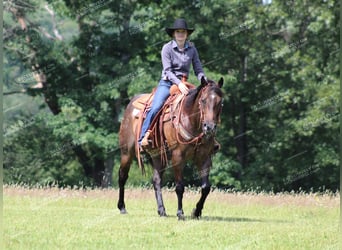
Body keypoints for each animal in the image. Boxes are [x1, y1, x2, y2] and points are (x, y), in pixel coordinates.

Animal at [117, 77, 224, 220]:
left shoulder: (204, 157)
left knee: (156, 180)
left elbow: (206, 187)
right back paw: (122, 207)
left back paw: (161, 210)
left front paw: (196, 212)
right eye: (203, 100)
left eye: (220, 102)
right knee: (122, 176)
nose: (209, 127)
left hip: (157, 156)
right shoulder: (177, 157)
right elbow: (179, 186)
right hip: (126, 153)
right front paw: (180, 213)